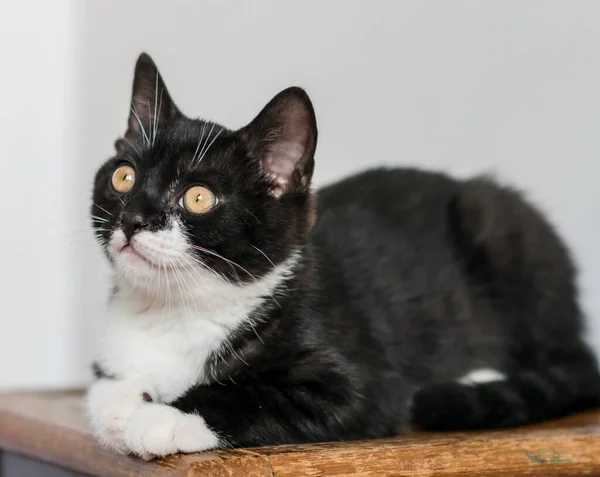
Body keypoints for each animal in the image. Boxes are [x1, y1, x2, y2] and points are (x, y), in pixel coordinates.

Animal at [88, 54, 600, 460]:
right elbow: (99, 391)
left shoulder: (364, 382)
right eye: (124, 177)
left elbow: (251, 395)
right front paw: (123, 405)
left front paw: (161, 419)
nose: (134, 219)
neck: (173, 310)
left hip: (501, 226)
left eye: (198, 198)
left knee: (572, 364)